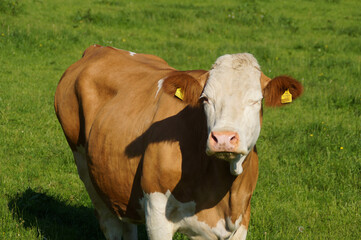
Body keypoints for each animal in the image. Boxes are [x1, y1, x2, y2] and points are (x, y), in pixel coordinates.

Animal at [54, 45, 300, 240]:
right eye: (205, 99)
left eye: (256, 101)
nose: (223, 138)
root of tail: (100, 48)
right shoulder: (156, 215)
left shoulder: (241, 218)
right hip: (86, 168)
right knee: (110, 223)